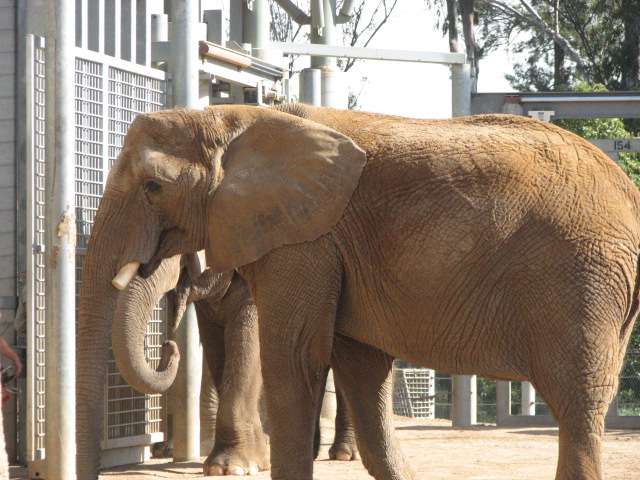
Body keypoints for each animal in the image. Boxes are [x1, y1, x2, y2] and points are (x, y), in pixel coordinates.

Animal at [76, 103, 640, 480]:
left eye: (153, 187)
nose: (168, 346)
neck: (235, 117)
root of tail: (627, 190)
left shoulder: (306, 241)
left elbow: (293, 359)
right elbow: (361, 371)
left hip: (582, 277)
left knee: (578, 405)